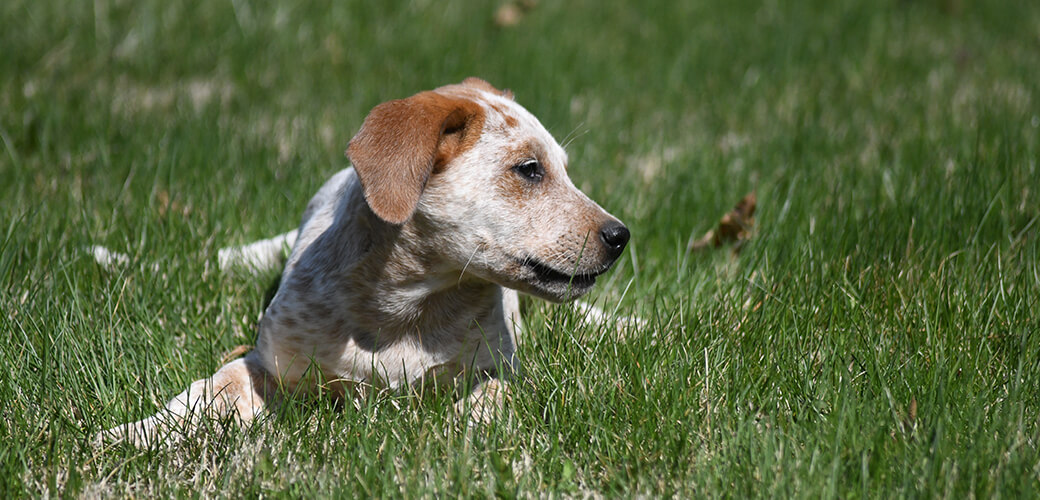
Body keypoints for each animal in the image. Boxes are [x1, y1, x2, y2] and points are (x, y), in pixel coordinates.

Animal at [101, 77, 628, 444]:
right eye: (530, 169)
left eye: (562, 170)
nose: (621, 235)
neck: (405, 308)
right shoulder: (268, 364)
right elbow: (207, 391)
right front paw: (127, 434)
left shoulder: (498, 370)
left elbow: (490, 399)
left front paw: (460, 436)